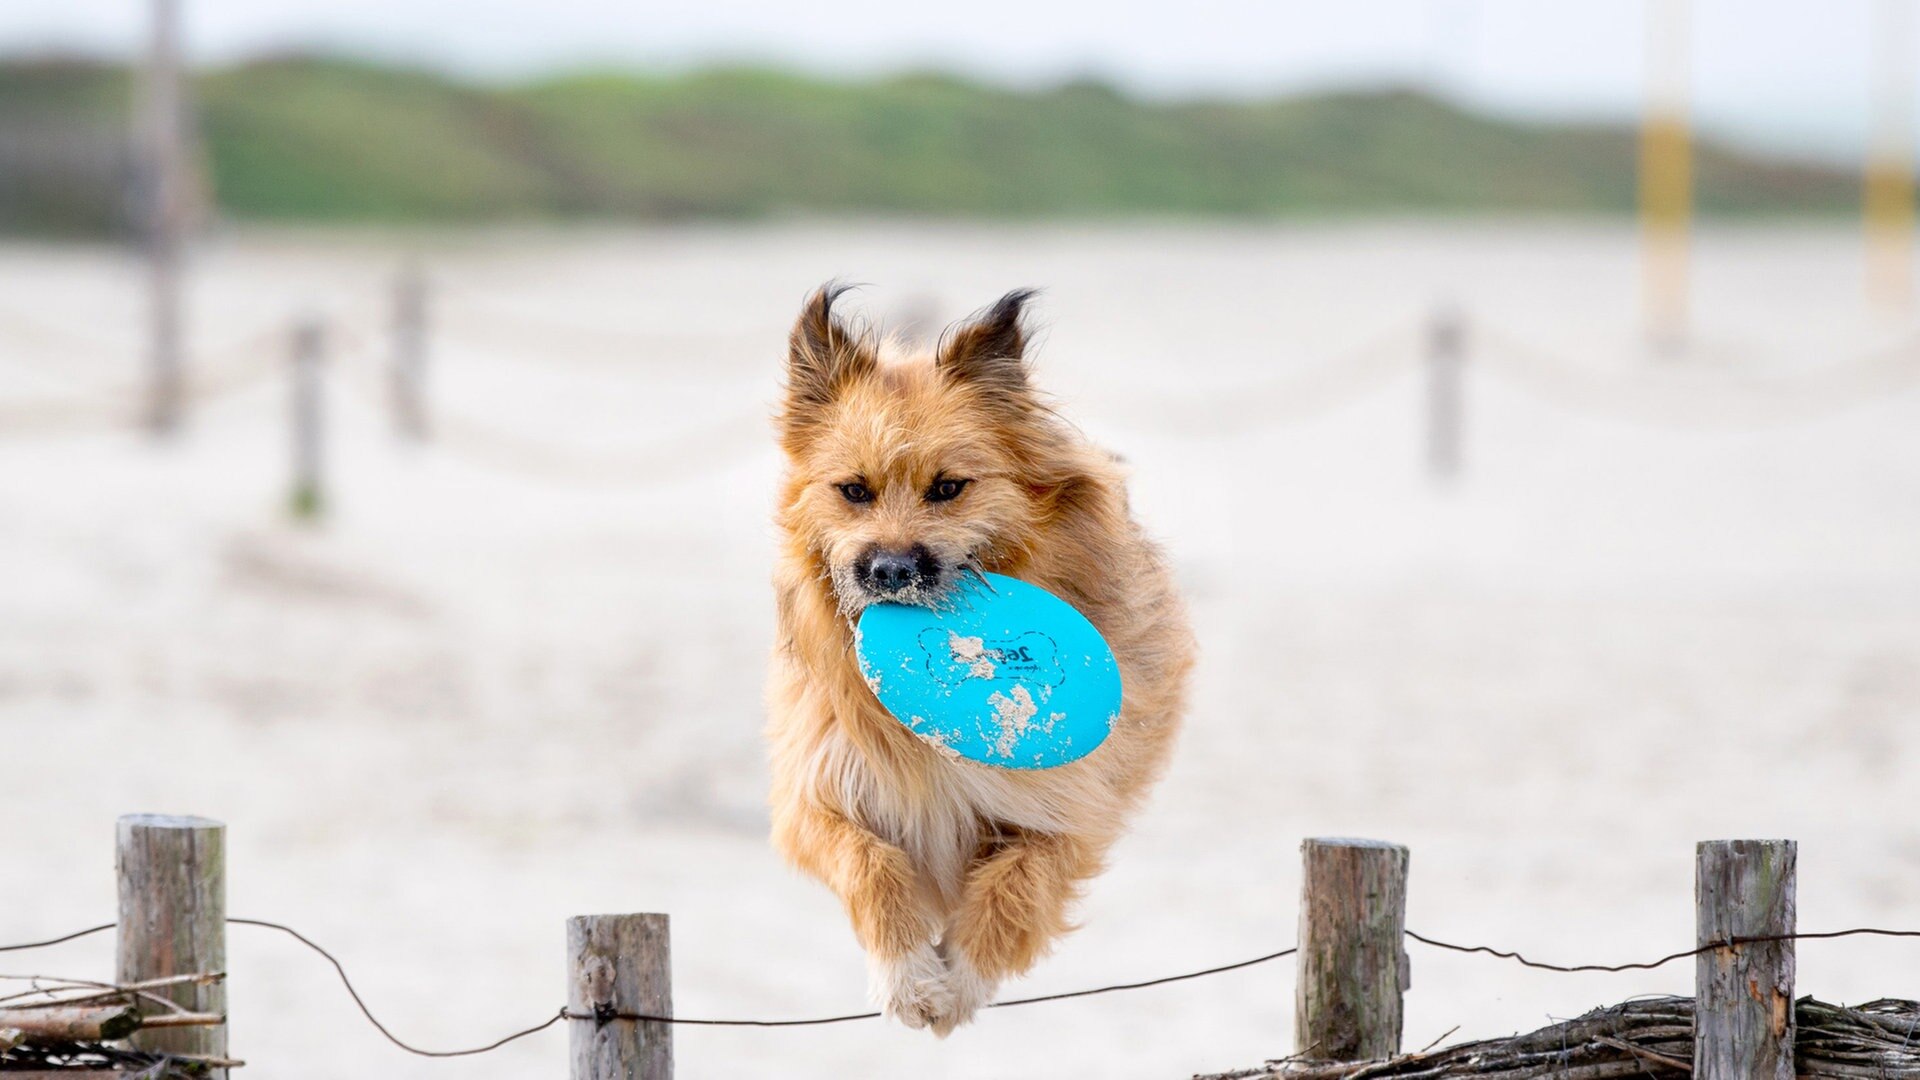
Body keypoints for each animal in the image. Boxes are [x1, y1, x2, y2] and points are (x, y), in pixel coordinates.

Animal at [768, 282, 1190, 1030]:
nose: (890, 571)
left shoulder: (1070, 809)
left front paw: (962, 978)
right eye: (854, 490)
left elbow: (1016, 883)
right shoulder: (815, 794)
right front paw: (908, 977)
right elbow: (869, 862)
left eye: (947, 488)